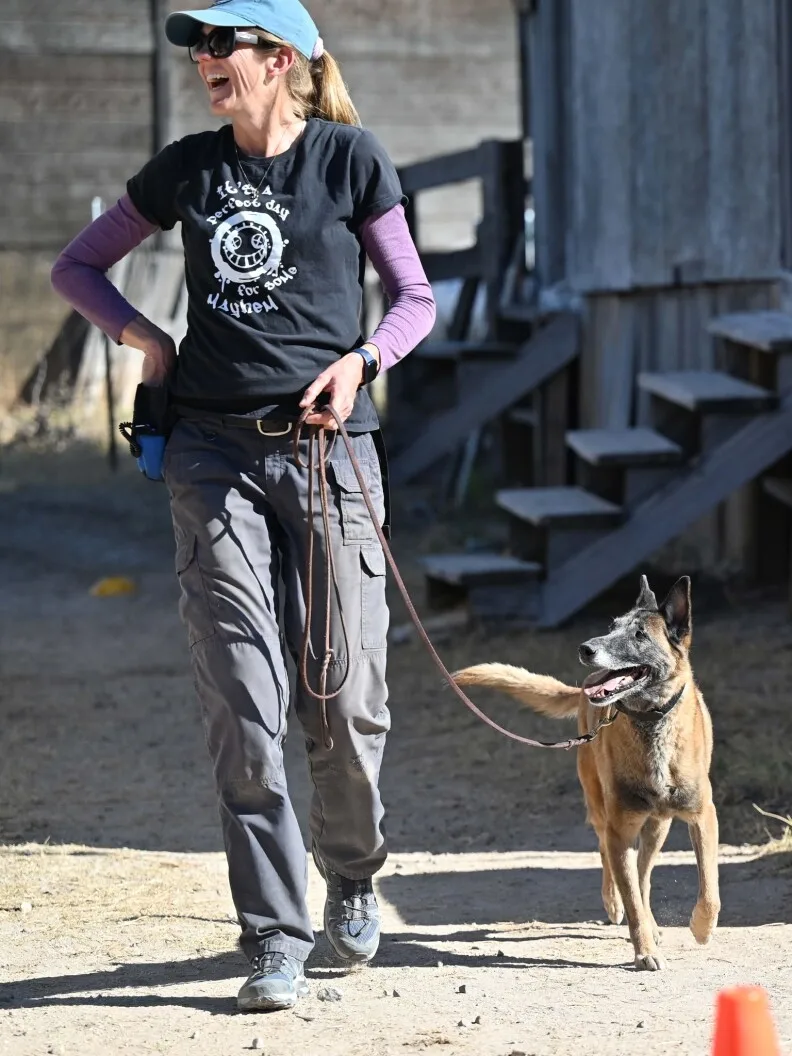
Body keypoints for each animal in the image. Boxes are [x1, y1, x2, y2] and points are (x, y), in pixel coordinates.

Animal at [451, 578, 718, 971]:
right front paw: (643, 950)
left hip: (658, 826)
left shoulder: (702, 817)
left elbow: (708, 887)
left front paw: (700, 928)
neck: (651, 722)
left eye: (639, 635)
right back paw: (614, 902)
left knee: (643, 871)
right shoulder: (620, 827)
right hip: (602, 808)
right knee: (609, 854)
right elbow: (630, 896)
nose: (586, 648)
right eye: (612, 626)